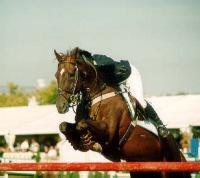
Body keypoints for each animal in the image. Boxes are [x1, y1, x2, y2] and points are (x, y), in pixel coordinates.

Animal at [54, 47, 191, 178]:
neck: (97, 95)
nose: (60, 106)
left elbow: (82, 124)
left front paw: (88, 140)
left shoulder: (109, 133)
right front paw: (77, 141)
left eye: (71, 74)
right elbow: (64, 125)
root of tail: (180, 154)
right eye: (56, 75)